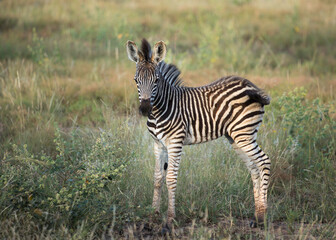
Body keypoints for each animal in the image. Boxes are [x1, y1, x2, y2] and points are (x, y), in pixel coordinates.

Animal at [126, 39, 270, 229]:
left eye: (156, 80)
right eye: (136, 80)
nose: (144, 109)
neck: (160, 110)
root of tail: (251, 85)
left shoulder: (175, 142)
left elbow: (170, 178)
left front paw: (170, 220)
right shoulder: (158, 144)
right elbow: (157, 178)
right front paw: (153, 216)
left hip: (244, 134)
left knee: (264, 162)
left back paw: (262, 217)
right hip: (236, 138)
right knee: (254, 168)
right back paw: (257, 215)